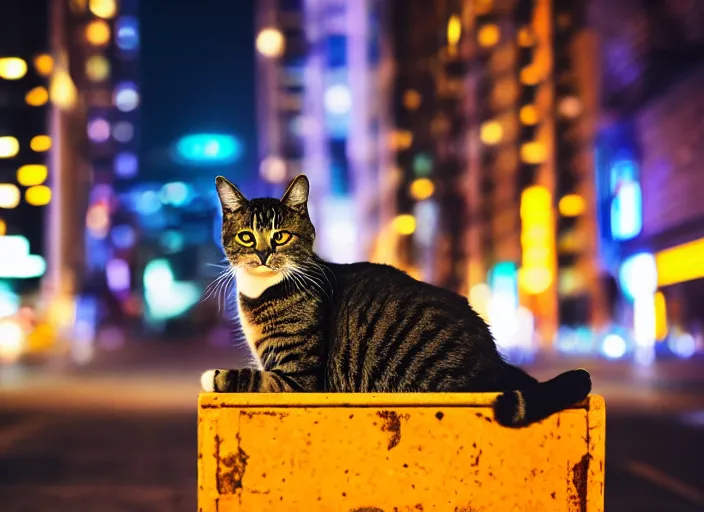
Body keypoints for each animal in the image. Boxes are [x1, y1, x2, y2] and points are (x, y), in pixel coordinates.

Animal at [201, 174, 592, 426]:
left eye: (280, 236)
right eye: (247, 237)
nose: (263, 255)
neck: (262, 292)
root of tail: (496, 364)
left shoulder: (298, 380)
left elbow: (249, 378)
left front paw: (212, 376)